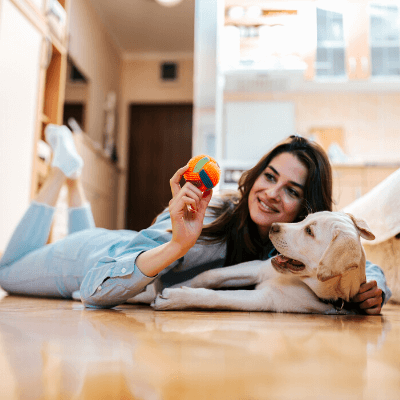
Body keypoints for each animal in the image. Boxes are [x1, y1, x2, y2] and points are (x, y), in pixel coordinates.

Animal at [143, 211, 376, 314]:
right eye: (305, 218)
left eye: (309, 231)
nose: (273, 226)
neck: (302, 282)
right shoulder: (257, 267)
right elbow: (209, 275)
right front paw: (171, 285)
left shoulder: (267, 299)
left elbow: (216, 297)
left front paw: (176, 297)